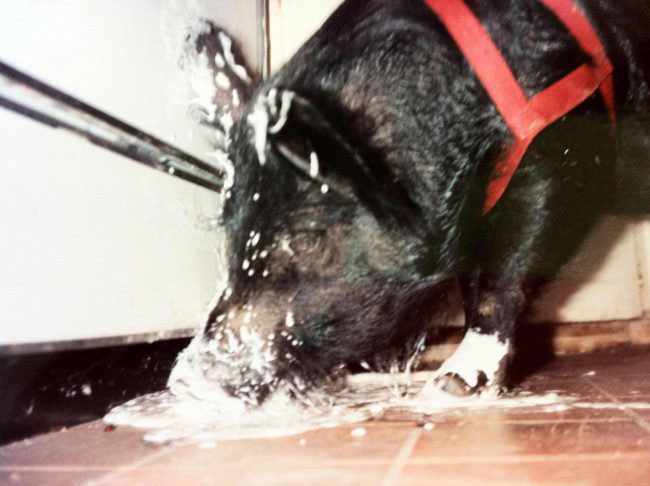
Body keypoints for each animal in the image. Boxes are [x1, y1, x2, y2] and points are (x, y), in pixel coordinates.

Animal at [172, 0, 648, 404]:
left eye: (307, 239)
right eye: (231, 235)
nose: (185, 379)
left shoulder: (554, 160)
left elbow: (505, 276)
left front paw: (452, 387)